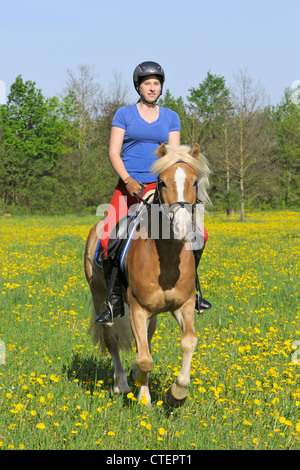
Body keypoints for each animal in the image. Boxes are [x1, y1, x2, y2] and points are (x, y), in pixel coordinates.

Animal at [84, 143, 211, 408]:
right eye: (162, 182)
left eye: (195, 182)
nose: (182, 228)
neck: (167, 259)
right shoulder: (137, 309)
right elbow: (145, 359)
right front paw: (143, 398)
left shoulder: (183, 306)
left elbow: (188, 342)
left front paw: (177, 394)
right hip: (100, 295)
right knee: (112, 339)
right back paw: (121, 384)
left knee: (146, 340)